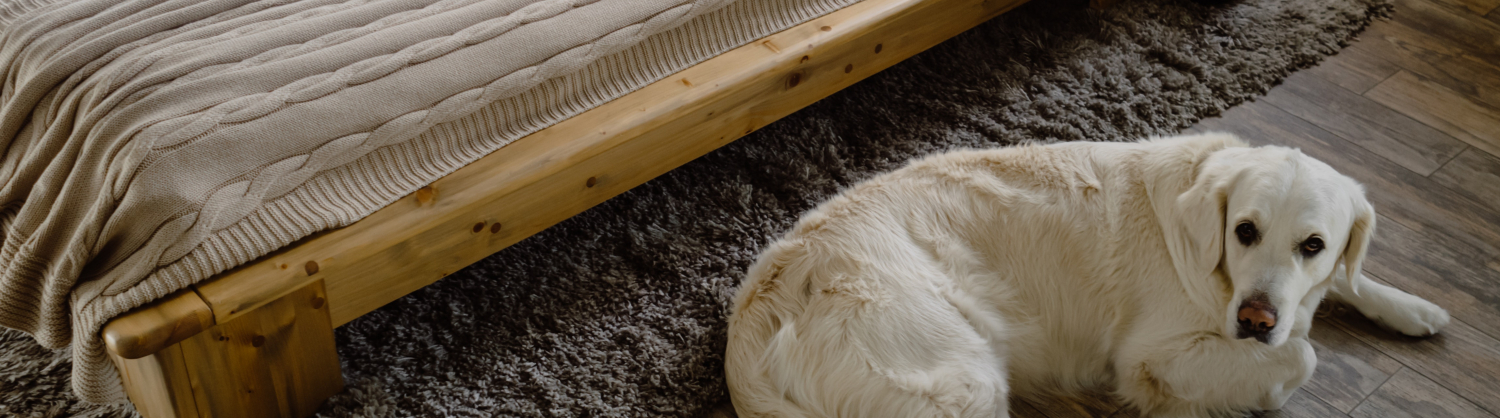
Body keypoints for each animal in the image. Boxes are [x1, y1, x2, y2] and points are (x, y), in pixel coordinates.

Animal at [720, 134, 1446, 418]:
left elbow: (1350, 276)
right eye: (1244, 230)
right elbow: (1303, 354)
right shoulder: (1150, 357)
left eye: (1313, 244)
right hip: (961, 379)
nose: (1254, 318)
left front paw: (1413, 307)